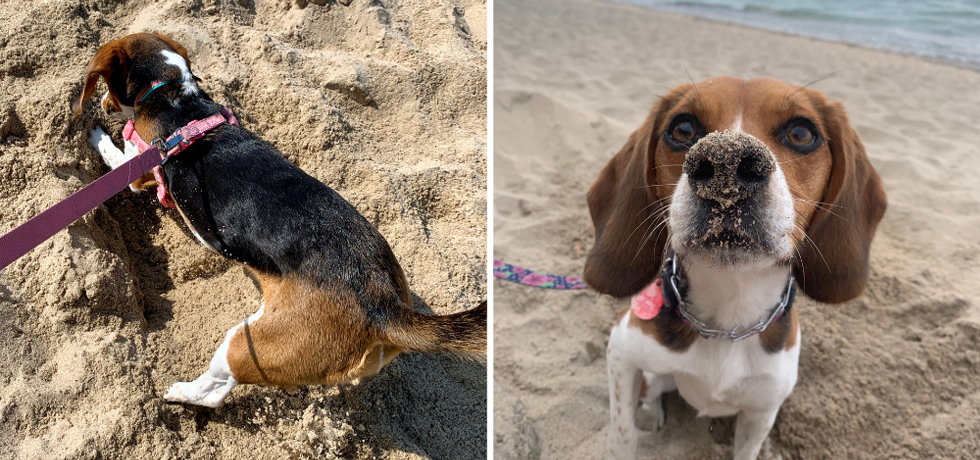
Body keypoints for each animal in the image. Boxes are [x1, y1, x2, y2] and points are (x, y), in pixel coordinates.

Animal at [70, 34, 486, 408]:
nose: (102, 106)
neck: (174, 94)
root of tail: (385, 307)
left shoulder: (138, 169)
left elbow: (114, 156)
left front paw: (95, 135)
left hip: (246, 342)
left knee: (214, 388)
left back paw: (179, 394)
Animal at [584, 77, 892, 458]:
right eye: (682, 128)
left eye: (801, 133)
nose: (726, 161)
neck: (729, 309)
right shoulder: (621, 352)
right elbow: (622, 435)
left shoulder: (762, 410)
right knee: (650, 391)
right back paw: (651, 413)